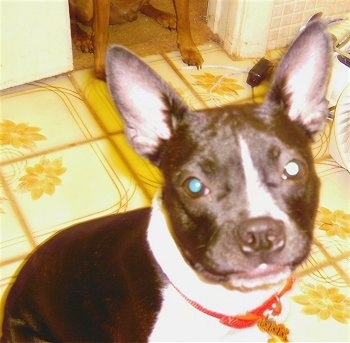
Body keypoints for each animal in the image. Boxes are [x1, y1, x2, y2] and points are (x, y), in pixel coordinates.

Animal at [69, 0, 204, 78]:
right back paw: (82, 38)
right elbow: (102, 34)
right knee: (71, 20)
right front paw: (101, 68)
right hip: (87, 9)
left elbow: (184, 21)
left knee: (144, 5)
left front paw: (189, 50)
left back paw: (165, 17)